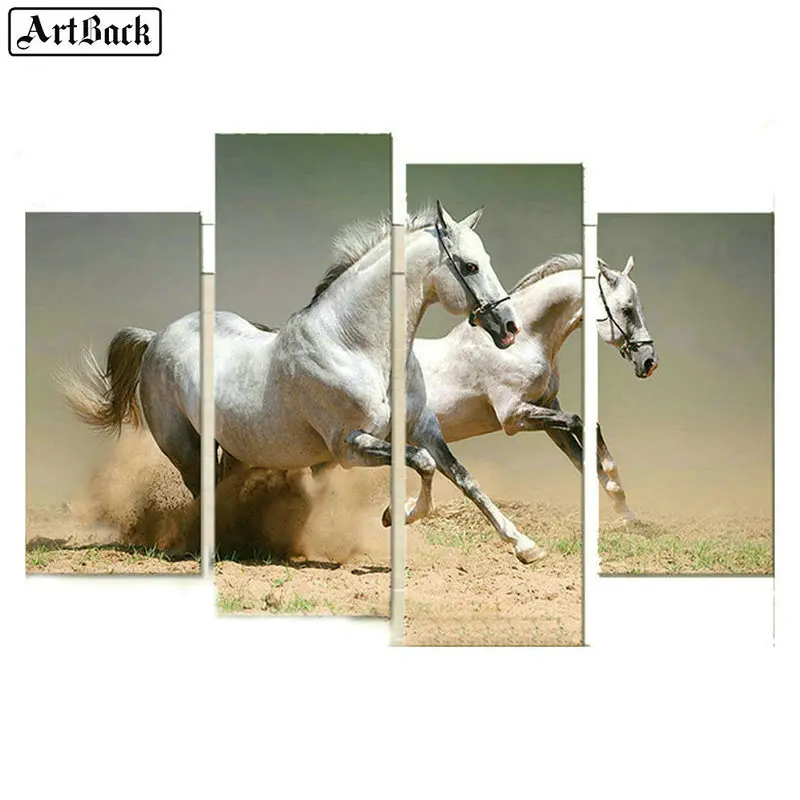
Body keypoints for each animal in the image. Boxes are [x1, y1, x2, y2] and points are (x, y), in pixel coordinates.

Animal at [59, 202, 549, 564]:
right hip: (184, 446)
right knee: (202, 492)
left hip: (235, 448)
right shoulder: (350, 447)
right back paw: (212, 550)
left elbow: (462, 477)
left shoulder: (422, 427)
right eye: (469, 266)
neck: (354, 344)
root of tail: (157, 336)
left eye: (486, 261)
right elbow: (423, 464)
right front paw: (396, 514)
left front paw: (525, 546)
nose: (508, 327)